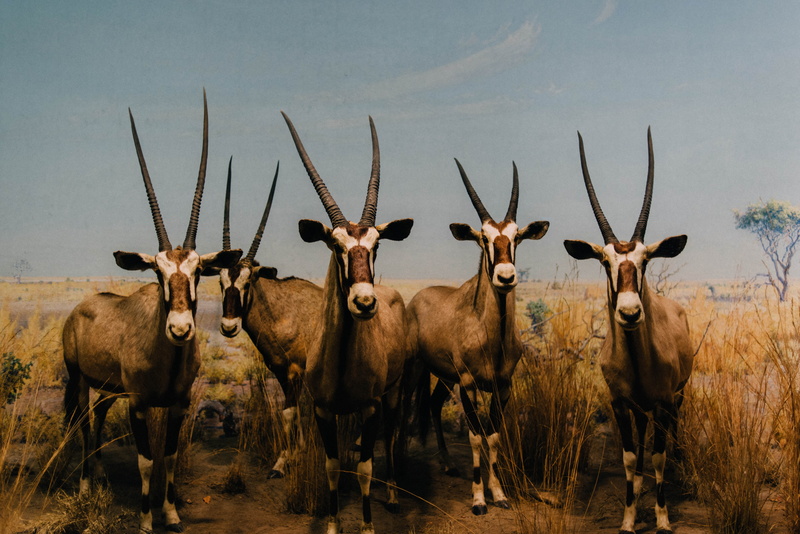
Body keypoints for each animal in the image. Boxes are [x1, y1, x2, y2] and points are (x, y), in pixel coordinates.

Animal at [63, 93, 242, 534]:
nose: (179, 329)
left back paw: (98, 475)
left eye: (198, 272)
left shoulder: (177, 404)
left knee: (96, 420)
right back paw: (84, 487)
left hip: (108, 389)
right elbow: (146, 461)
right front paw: (145, 520)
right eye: (157, 272)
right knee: (81, 426)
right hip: (79, 380)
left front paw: (172, 514)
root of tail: (81, 308)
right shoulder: (140, 404)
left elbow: (171, 457)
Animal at [205, 157, 322, 479]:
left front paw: (283, 463)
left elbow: (290, 413)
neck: (280, 313)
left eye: (248, 282)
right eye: (220, 281)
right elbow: (293, 413)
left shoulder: (295, 373)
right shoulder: (282, 372)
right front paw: (296, 454)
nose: (229, 327)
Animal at [282, 111, 414, 534]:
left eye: (376, 245)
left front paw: (368, 526)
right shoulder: (323, 411)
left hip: (393, 394)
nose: (364, 302)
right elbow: (333, 466)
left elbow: (365, 468)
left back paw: (393, 495)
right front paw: (333, 524)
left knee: (391, 437)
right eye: (335, 245)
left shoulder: (371, 407)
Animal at [408, 160, 549, 515]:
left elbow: (494, 435)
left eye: (517, 237)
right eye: (483, 237)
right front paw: (478, 499)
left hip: (446, 378)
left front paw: (498, 494)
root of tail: (417, 298)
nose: (506, 277)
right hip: (419, 371)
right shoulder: (470, 385)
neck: (492, 339)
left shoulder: (502, 386)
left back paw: (447, 464)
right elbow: (475, 436)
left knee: (432, 404)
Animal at [563, 128, 692, 534]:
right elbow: (631, 460)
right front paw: (628, 520)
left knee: (674, 438)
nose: (631, 313)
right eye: (605, 261)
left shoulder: (664, 403)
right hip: (640, 409)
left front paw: (663, 520)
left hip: (677, 397)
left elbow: (659, 458)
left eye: (645, 260)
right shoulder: (620, 404)